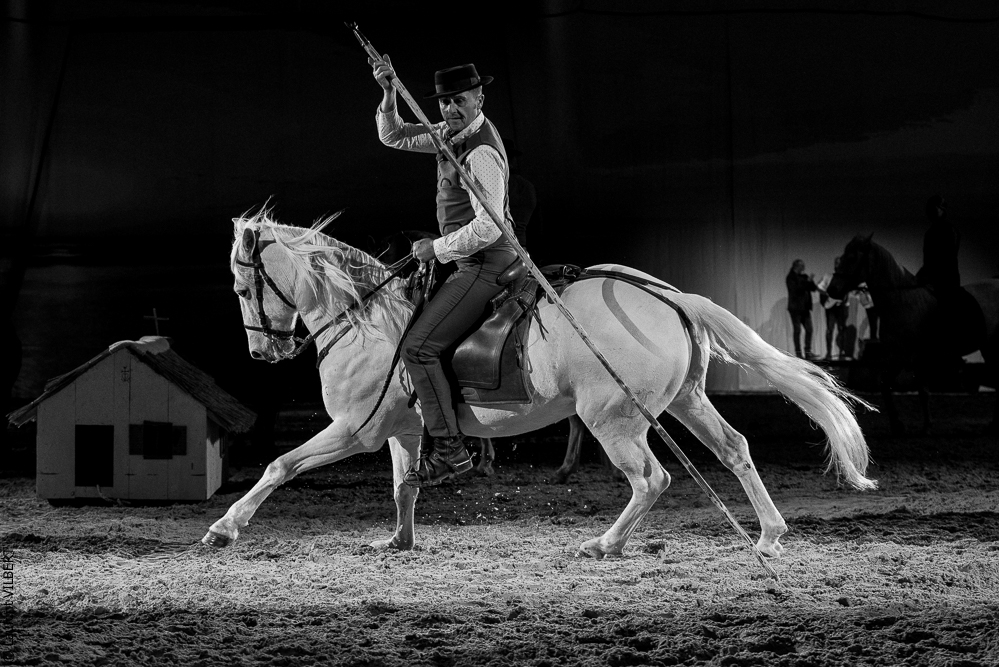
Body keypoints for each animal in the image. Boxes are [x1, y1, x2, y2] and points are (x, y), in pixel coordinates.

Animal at [204, 211, 876, 561]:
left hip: (614, 419)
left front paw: (225, 527)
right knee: (735, 449)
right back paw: (769, 536)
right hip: (687, 400)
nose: (263, 352)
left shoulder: (353, 430)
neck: (362, 319)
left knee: (651, 478)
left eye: (241, 285)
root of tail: (668, 295)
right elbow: (402, 486)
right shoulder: (400, 431)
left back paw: (604, 544)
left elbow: (279, 465)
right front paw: (398, 540)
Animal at [827, 234, 999, 433]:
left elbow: (922, 391)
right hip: (989, 347)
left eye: (852, 258)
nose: (832, 290)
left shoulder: (913, 356)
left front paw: (926, 426)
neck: (901, 302)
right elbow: (885, 384)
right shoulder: (898, 355)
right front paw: (897, 424)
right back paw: (993, 423)